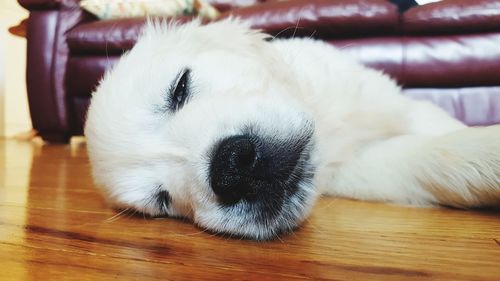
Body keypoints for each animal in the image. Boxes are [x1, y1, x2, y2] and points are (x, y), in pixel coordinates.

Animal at [85, 19, 500, 238]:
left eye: (180, 87)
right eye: (163, 200)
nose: (231, 170)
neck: (328, 123)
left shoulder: (401, 103)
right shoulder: (355, 167)